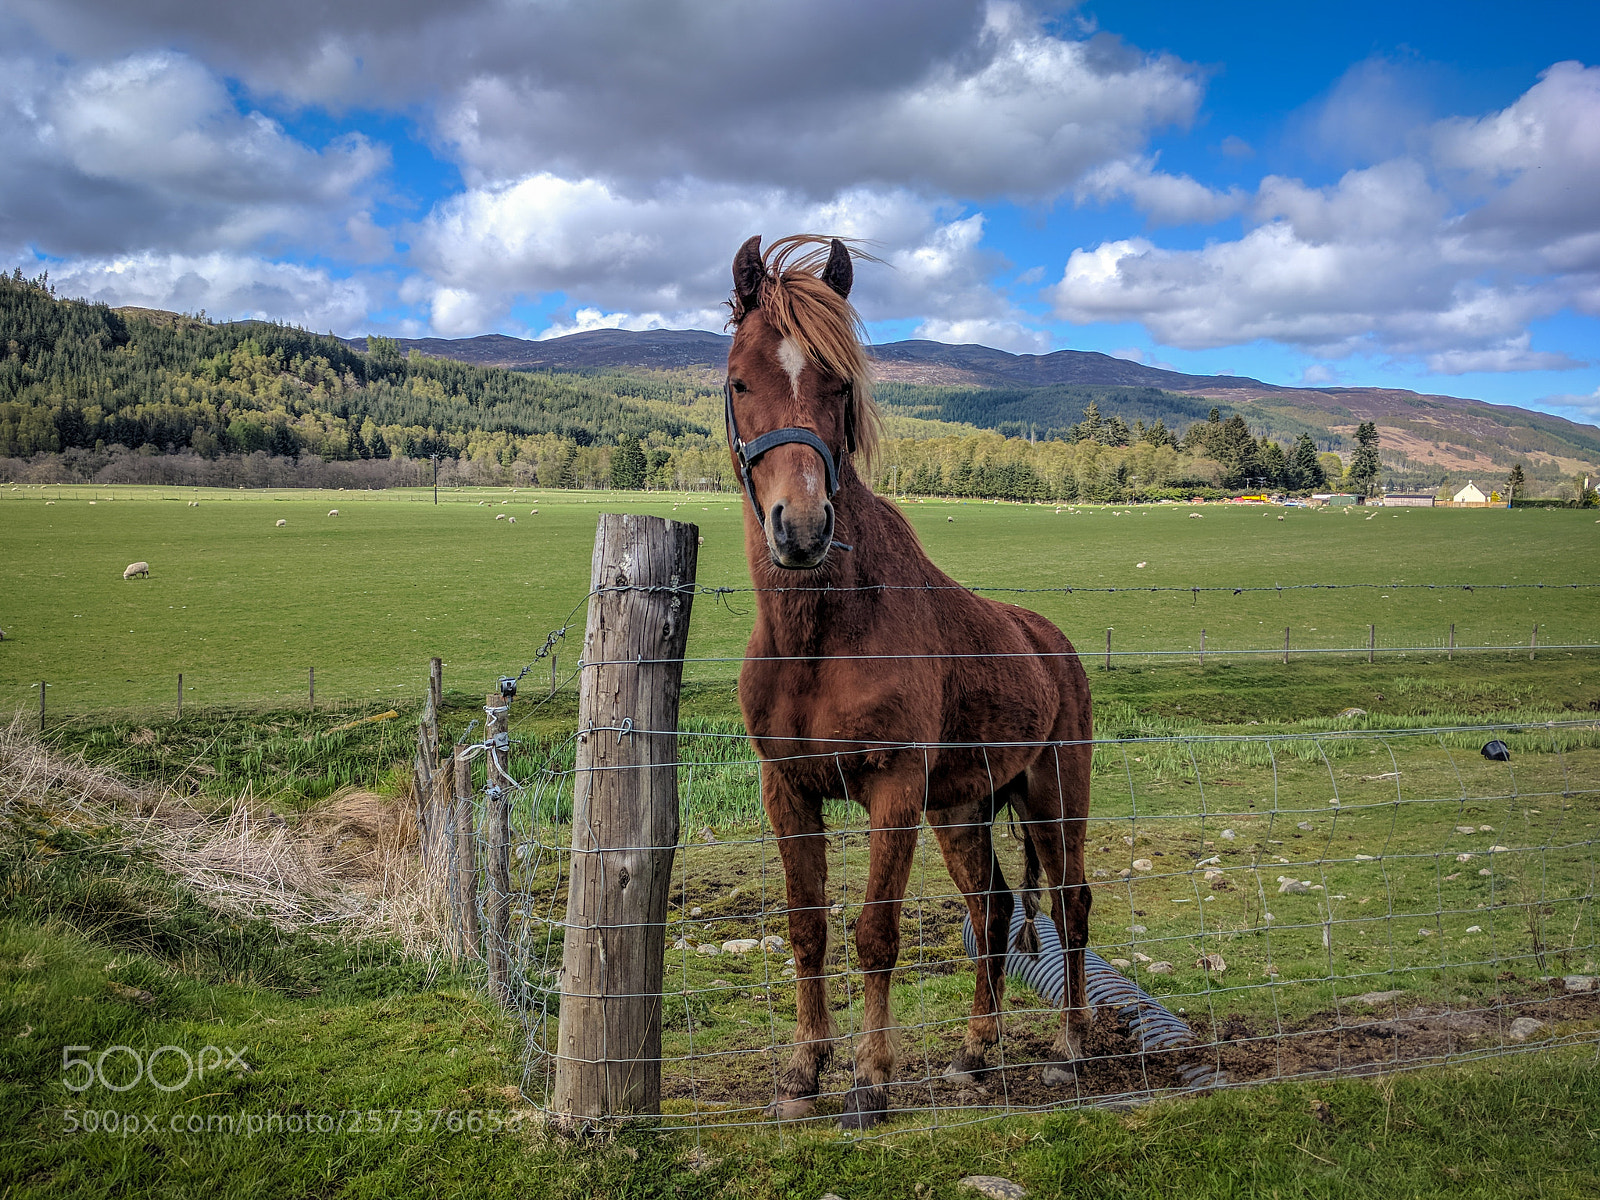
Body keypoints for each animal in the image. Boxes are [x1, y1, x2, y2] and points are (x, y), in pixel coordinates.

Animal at [724, 234, 1094, 1130]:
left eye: (839, 384)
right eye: (741, 381)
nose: (801, 529)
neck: (820, 638)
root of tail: (1052, 644)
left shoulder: (891, 789)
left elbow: (875, 934)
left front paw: (869, 1080)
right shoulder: (788, 789)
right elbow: (808, 929)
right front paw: (803, 1071)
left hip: (1053, 797)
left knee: (1069, 904)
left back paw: (1071, 1045)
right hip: (961, 809)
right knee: (993, 910)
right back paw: (975, 1051)